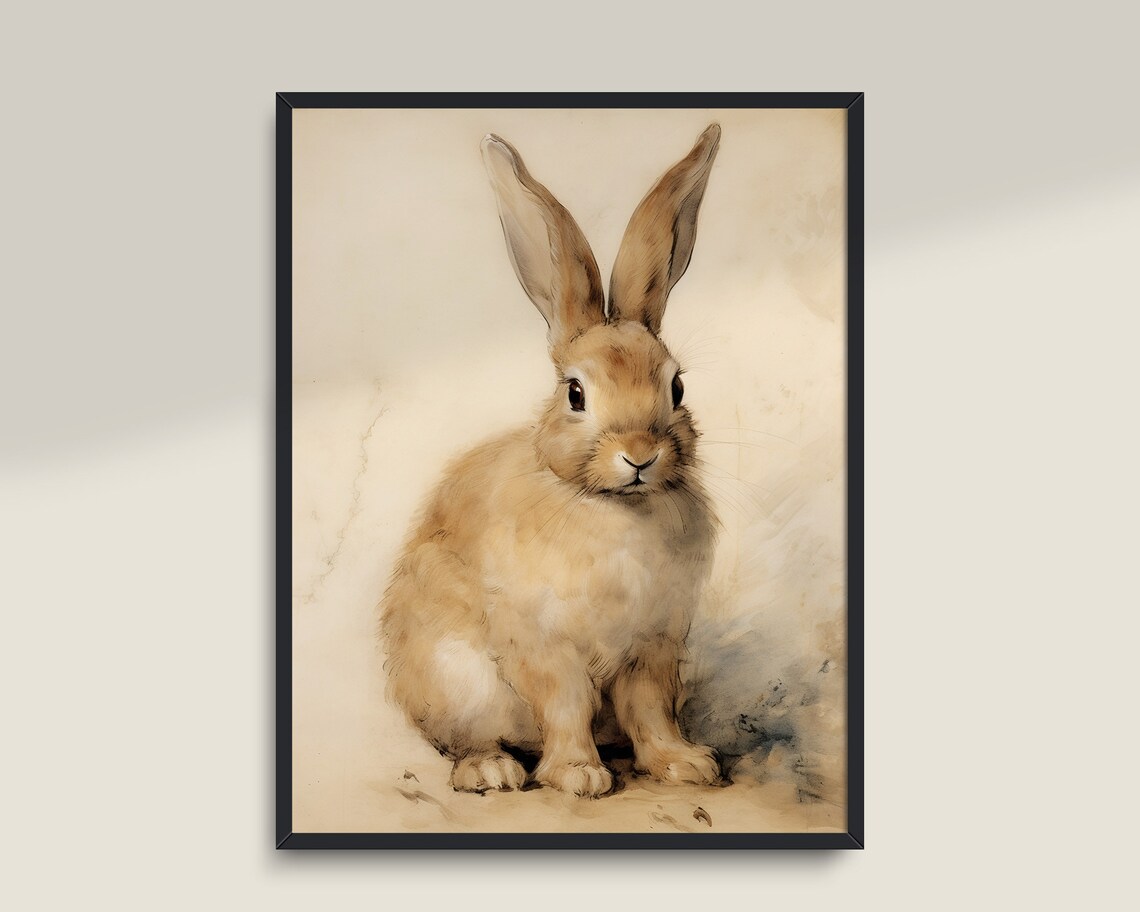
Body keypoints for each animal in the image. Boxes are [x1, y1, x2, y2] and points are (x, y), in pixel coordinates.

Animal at [380, 124, 723, 798]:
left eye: (676, 388)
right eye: (576, 394)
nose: (640, 454)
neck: (614, 507)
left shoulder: (654, 643)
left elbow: (651, 708)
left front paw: (684, 764)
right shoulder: (541, 641)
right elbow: (565, 703)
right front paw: (578, 776)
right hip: (454, 679)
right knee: (464, 739)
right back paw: (491, 769)